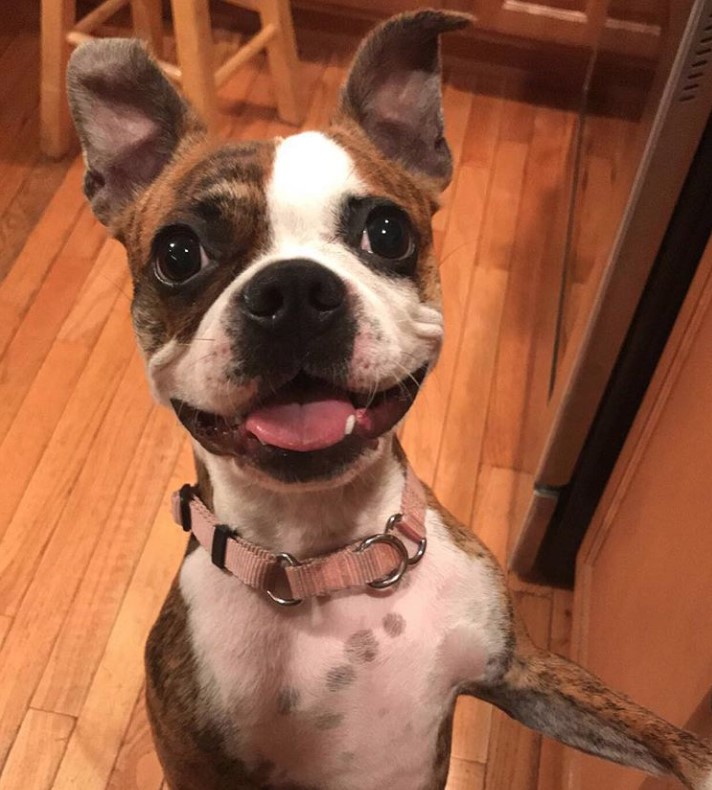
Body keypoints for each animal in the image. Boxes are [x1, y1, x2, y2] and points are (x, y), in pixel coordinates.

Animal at [67, 12, 712, 790]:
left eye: (387, 231)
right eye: (178, 253)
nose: (291, 291)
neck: (329, 562)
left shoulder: (524, 670)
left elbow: (668, 739)